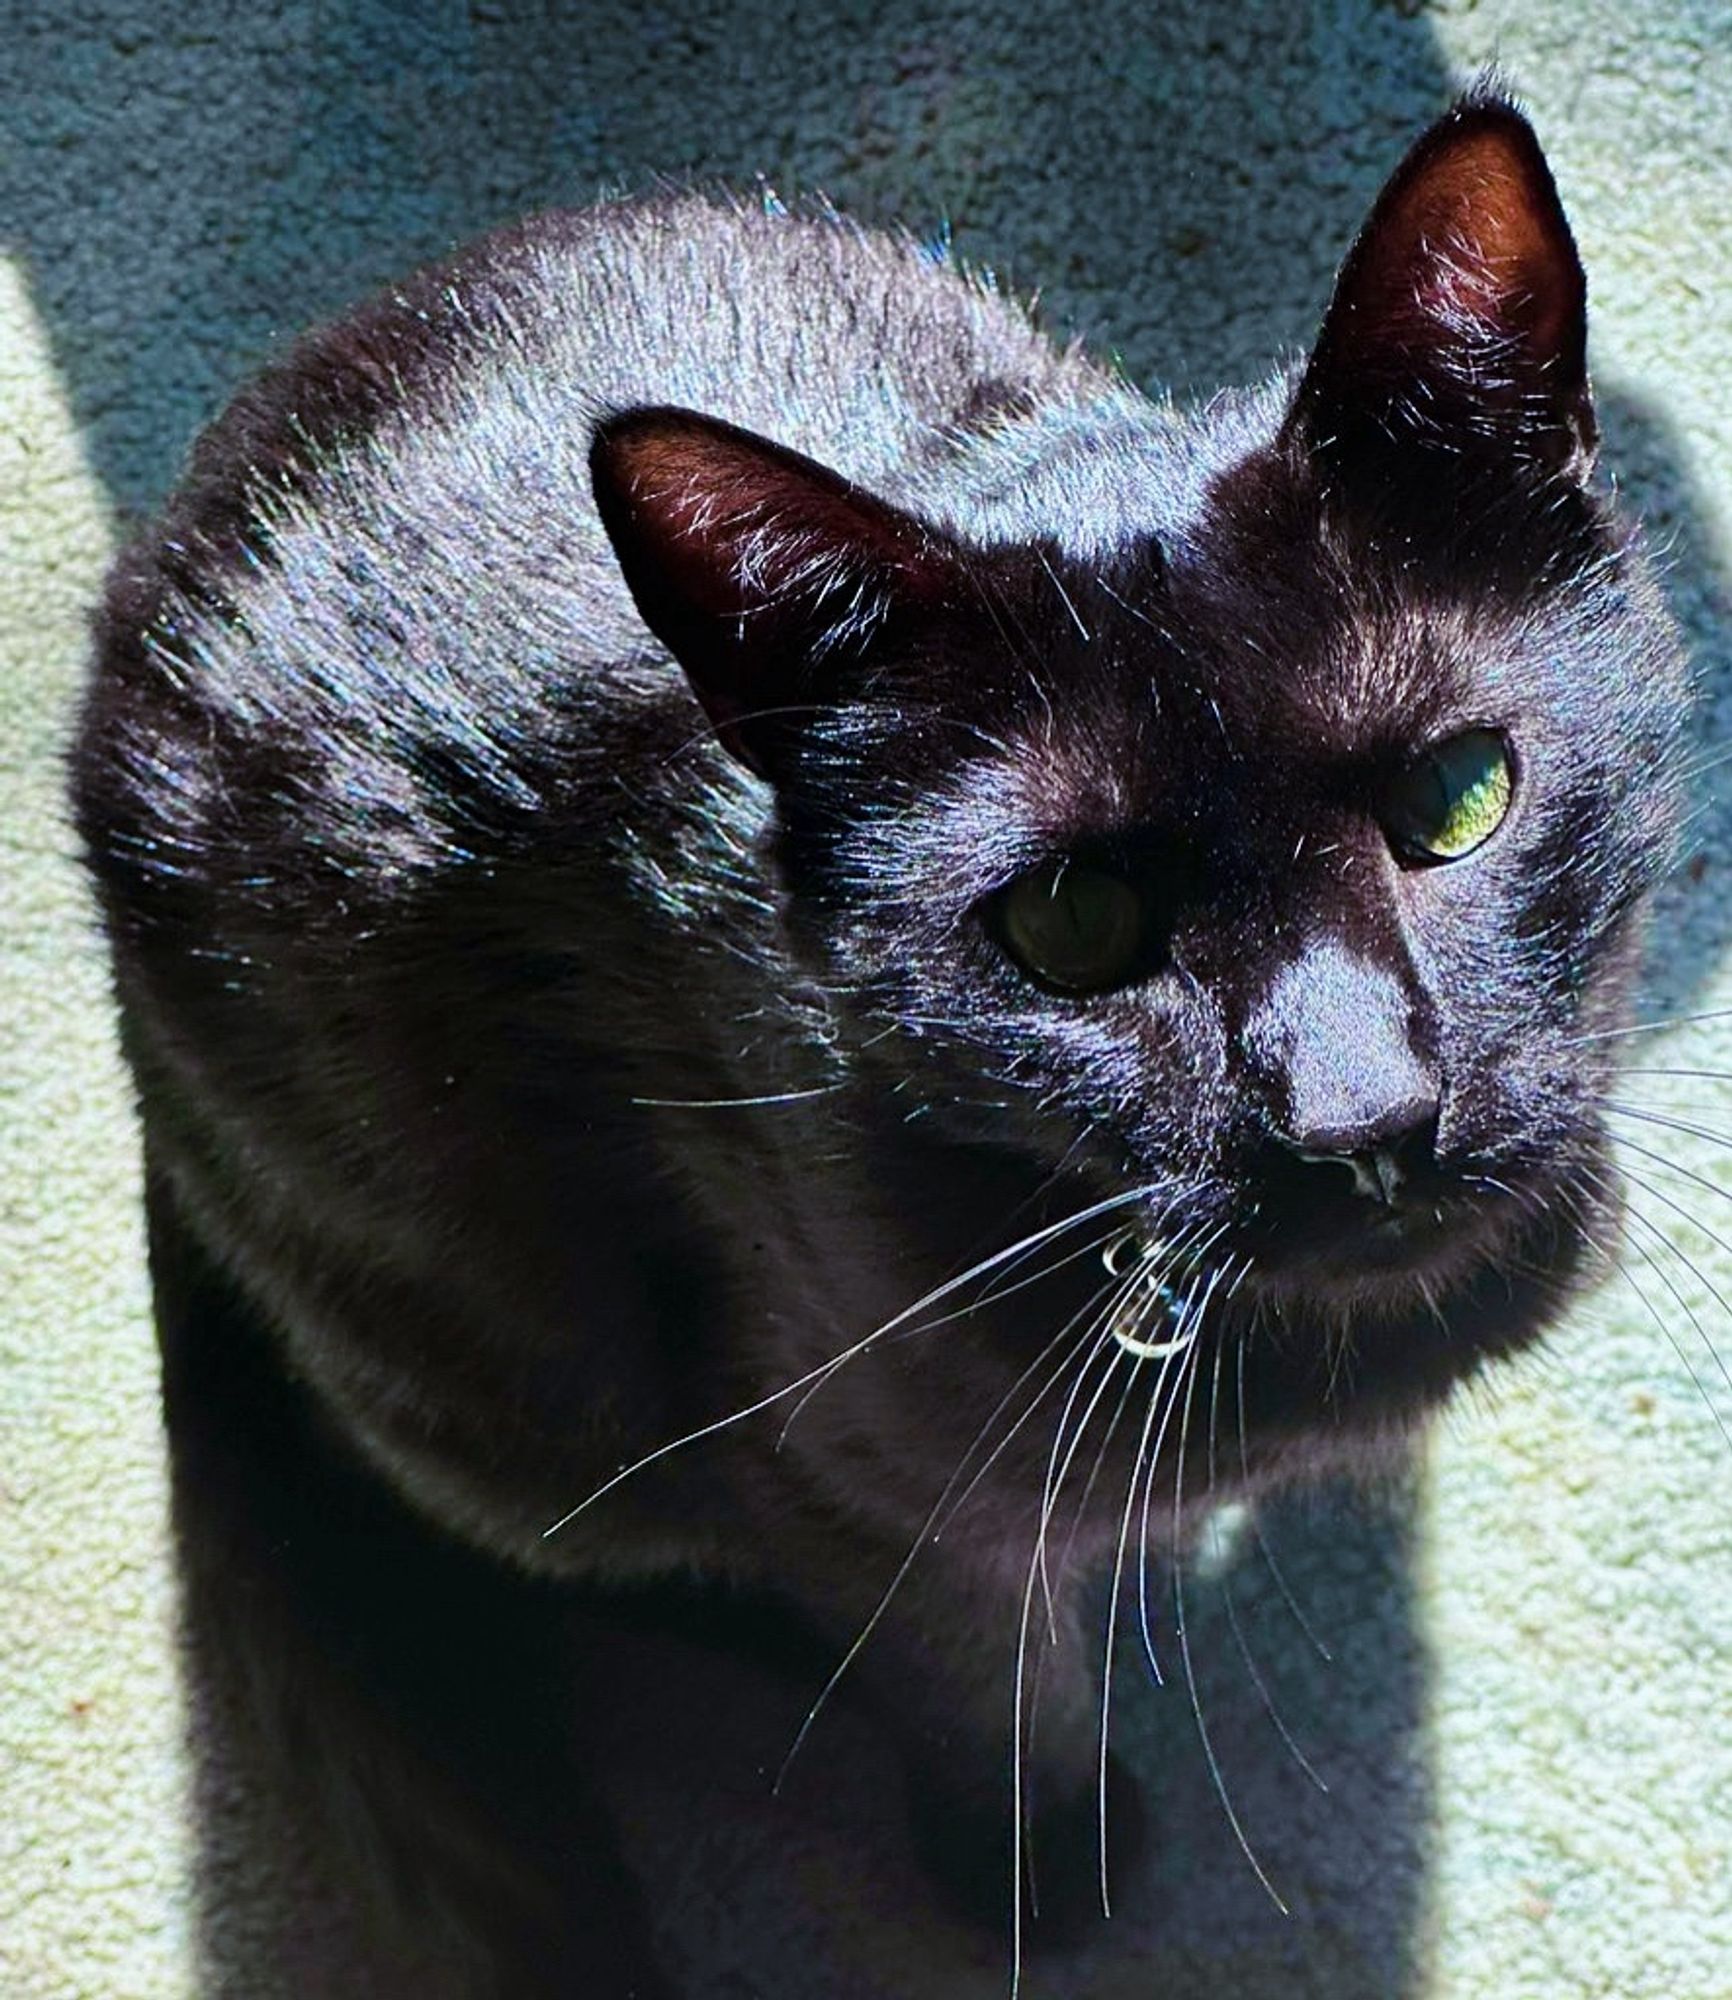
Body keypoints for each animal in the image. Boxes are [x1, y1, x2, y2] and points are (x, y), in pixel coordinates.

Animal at [74, 94, 1680, 2000]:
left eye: (1459, 798)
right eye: (1070, 925)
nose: (1362, 1113)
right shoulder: (843, 1439)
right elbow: (967, 1656)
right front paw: (1040, 1870)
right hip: (503, 1387)